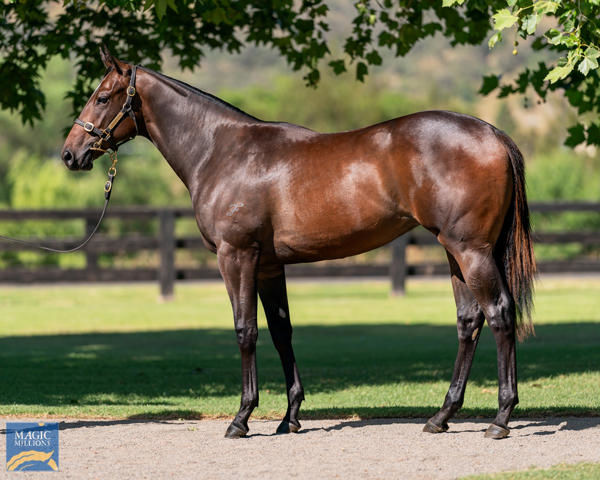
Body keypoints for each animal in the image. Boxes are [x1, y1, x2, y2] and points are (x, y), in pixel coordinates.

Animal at [63, 47, 536, 438]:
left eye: (102, 97)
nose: (70, 154)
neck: (221, 151)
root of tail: (491, 133)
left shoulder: (237, 256)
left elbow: (245, 330)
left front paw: (241, 418)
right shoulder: (270, 265)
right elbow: (281, 332)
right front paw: (289, 418)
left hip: (471, 251)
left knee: (499, 314)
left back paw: (500, 419)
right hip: (456, 253)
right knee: (468, 322)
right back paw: (441, 417)